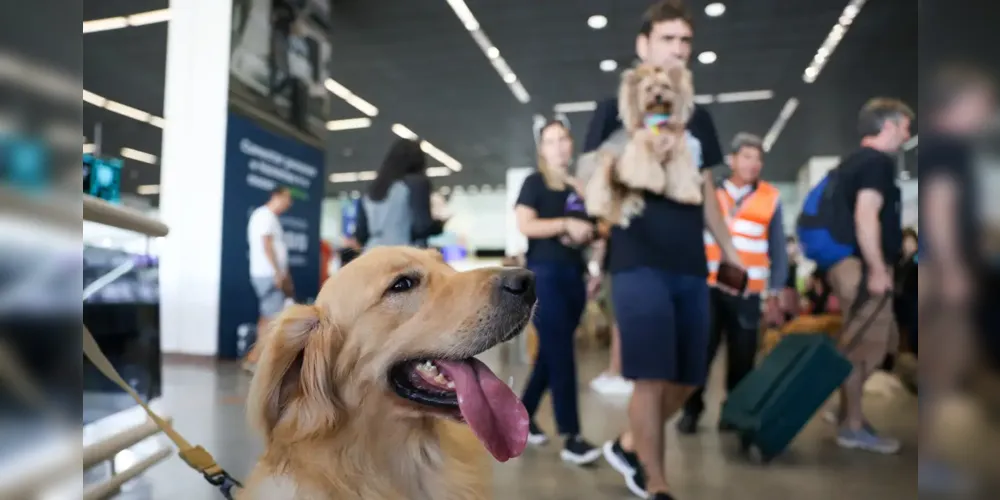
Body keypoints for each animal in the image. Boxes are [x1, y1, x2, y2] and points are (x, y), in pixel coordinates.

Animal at [584, 62, 700, 225]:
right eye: (648, 88)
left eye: (665, 86)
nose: (658, 96)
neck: (658, 122)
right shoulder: (641, 149)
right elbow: (646, 170)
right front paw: (654, 184)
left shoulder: (677, 154)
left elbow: (682, 175)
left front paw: (688, 195)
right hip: (606, 163)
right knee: (598, 185)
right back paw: (597, 207)